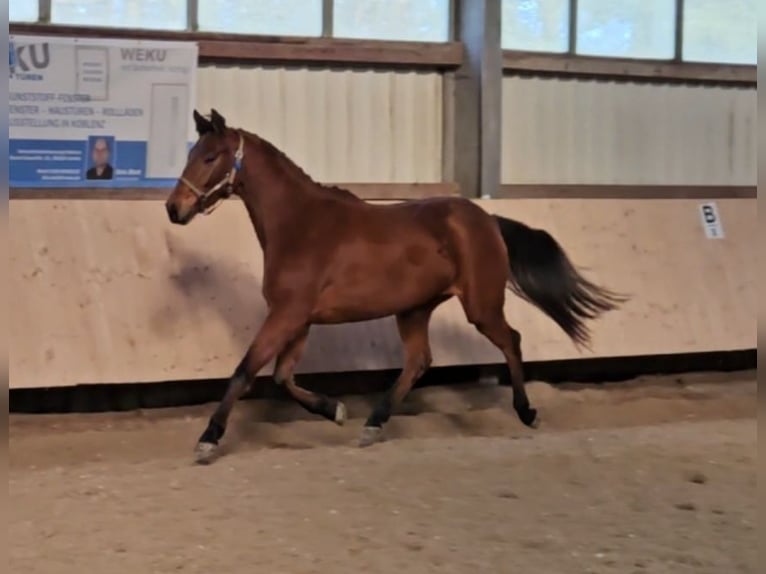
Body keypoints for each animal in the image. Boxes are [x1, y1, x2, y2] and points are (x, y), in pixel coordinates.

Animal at [165, 108, 627, 464]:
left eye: (210, 157)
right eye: (190, 154)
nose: (174, 209)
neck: (299, 224)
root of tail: (487, 220)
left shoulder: (288, 314)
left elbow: (244, 372)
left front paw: (208, 439)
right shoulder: (297, 319)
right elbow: (281, 376)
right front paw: (335, 410)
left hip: (479, 307)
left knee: (510, 341)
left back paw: (527, 412)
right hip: (414, 309)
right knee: (419, 361)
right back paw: (374, 423)